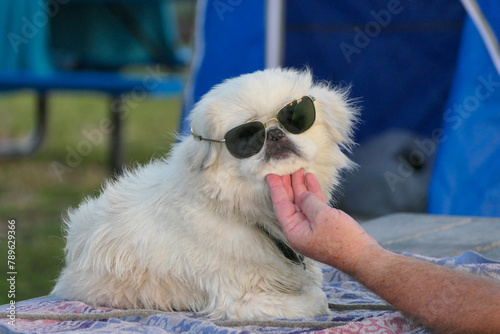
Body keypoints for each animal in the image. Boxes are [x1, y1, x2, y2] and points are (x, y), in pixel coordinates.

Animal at [51, 67, 356, 318]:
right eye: (246, 137)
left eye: (296, 118)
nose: (274, 134)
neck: (244, 210)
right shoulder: (241, 300)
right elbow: (317, 299)